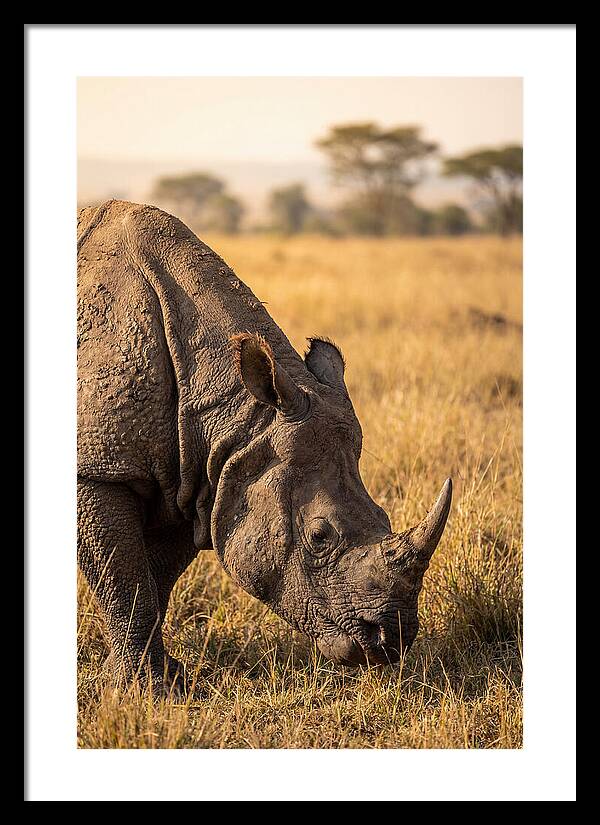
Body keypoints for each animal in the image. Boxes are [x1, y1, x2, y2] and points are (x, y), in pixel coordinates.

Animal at [77, 199, 452, 690]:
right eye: (319, 537)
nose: (391, 641)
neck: (238, 416)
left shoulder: (199, 476)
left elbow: (153, 580)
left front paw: (156, 679)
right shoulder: (100, 468)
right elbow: (125, 581)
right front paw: (147, 690)